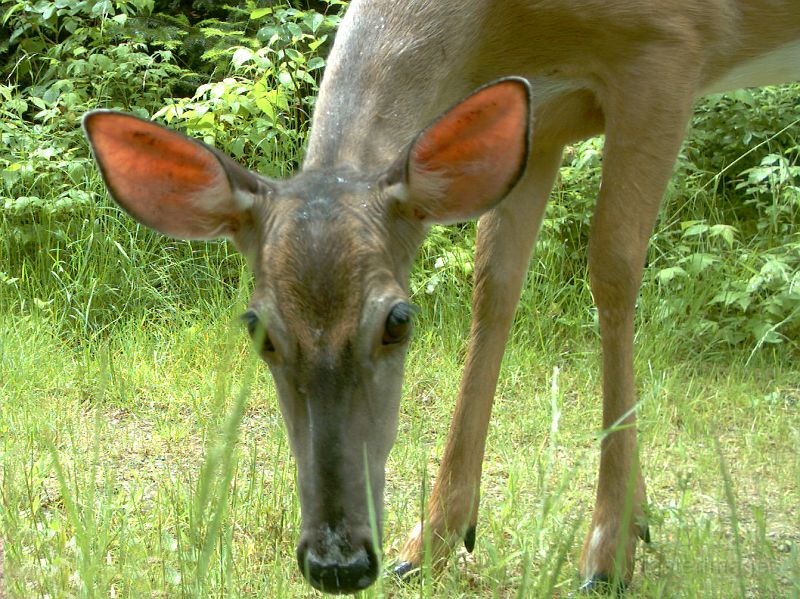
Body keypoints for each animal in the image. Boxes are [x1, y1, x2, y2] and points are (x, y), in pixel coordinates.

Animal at [81, 0, 800, 592]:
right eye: (257, 327)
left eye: (398, 320)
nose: (337, 562)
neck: (512, 29)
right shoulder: (543, 114)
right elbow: (495, 285)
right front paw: (433, 539)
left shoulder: (671, 46)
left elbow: (615, 270)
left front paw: (611, 546)